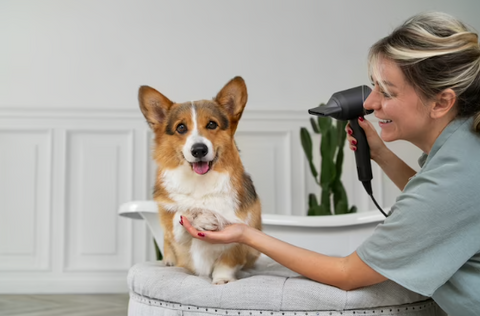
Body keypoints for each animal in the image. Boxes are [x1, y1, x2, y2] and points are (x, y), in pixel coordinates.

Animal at [137, 76, 260, 284]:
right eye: (181, 127)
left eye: (211, 124)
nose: (199, 150)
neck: (199, 182)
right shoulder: (174, 230)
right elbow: (180, 214)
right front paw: (199, 217)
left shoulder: (239, 238)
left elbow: (227, 262)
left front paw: (223, 280)